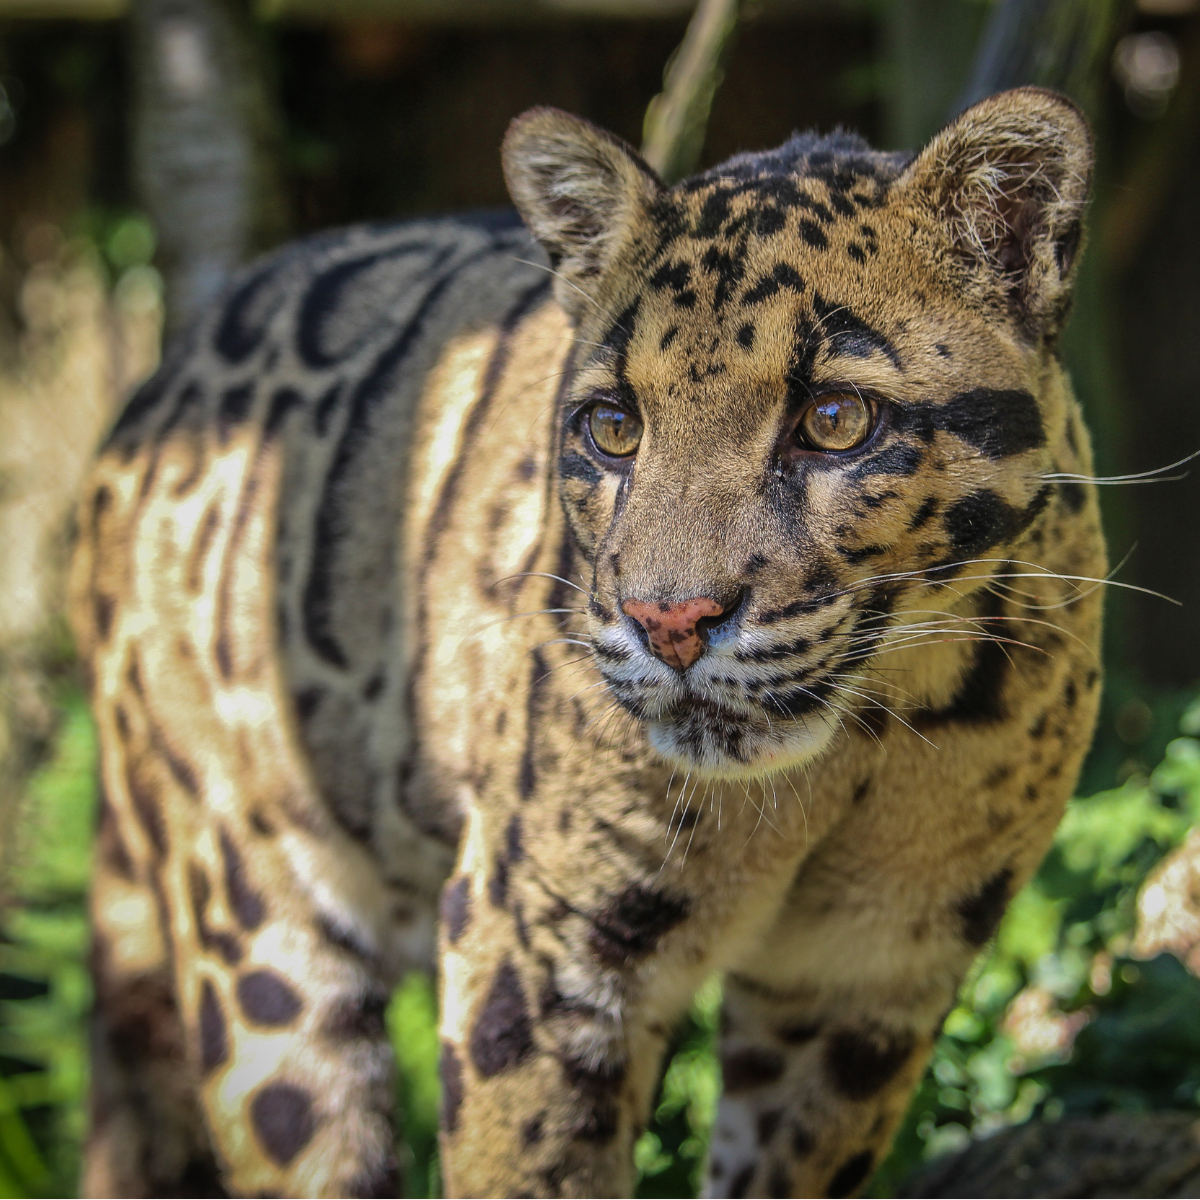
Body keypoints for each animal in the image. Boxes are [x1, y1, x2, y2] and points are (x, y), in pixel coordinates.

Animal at [68, 86, 1104, 1198]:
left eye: (835, 418)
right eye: (613, 427)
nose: (670, 621)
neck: (858, 750)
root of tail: (148, 402)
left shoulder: (863, 976)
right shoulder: (540, 943)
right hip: (258, 923)